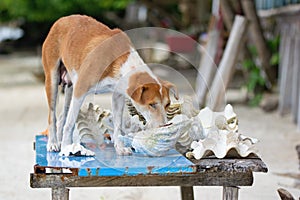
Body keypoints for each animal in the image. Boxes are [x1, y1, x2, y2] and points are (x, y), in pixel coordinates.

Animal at [42, 14, 178, 155]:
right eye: (152, 104)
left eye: (167, 104)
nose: (164, 126)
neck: (121, 62)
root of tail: (61, 19)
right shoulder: (80, 90)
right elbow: (70, 123)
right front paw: (66, 148)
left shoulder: (118, 95)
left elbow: (118, 124)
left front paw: (120, 147)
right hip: (52, 81)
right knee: (53, 116)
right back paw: (53, 143)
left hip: (70, 87)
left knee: (63, 116)